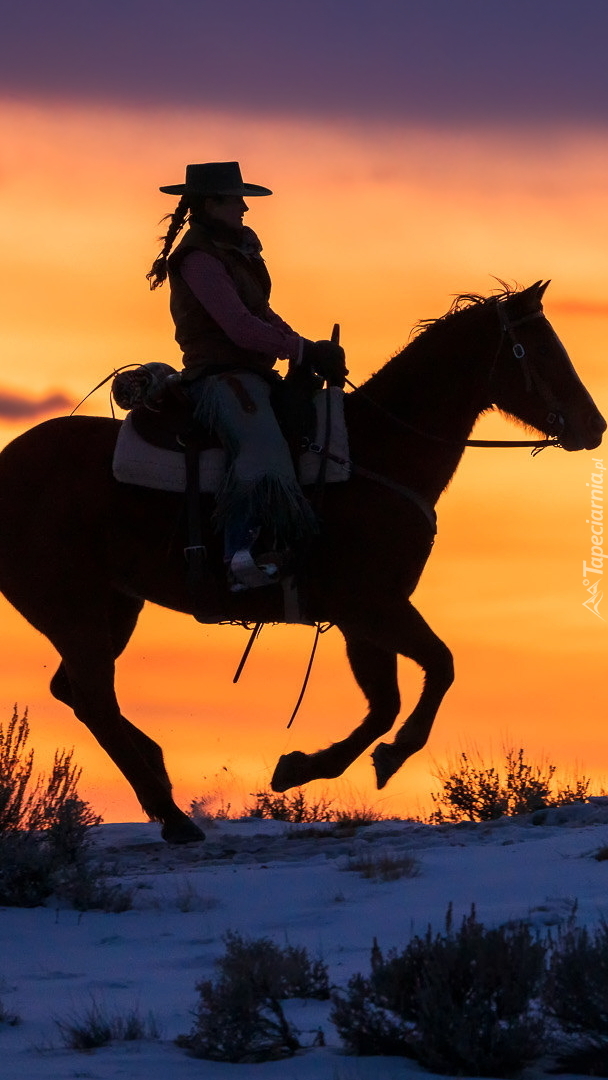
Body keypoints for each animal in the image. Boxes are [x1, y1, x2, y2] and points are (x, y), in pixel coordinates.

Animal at [0, 282, 604, 838]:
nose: (593, 426)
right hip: (73, 609)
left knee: (76, 692)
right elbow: (439, 667)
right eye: (538, 348)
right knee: (95, 698)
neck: (376, 451)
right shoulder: (373, 606)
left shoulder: (364, 618)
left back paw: (159, 774)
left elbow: (385, 702)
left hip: (115, 607)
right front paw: (390, 753)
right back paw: (174, 817)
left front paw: (301, 767)